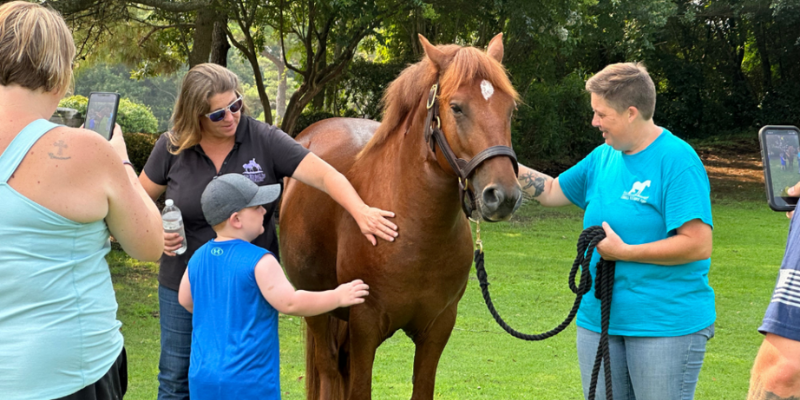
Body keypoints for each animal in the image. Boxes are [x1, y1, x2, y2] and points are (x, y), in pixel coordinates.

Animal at [279, 33, 522, 400]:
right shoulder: (365, 326)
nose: (503, 196)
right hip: (317, 311)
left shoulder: (437, 329)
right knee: (328, 369)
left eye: (509, 109)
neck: (414, 231)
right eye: (456, 107)